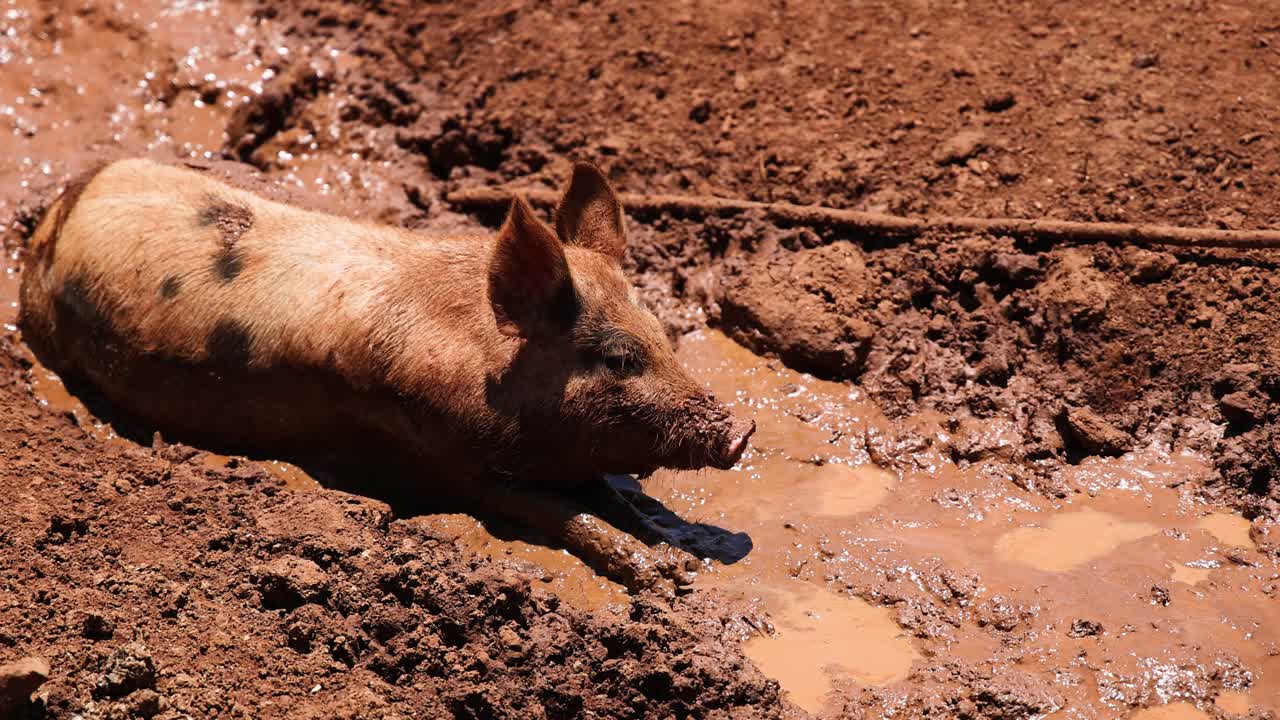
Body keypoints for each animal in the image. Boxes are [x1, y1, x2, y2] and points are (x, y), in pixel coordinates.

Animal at [19, 158, 754, 591]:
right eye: (620, 358)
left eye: (663, 335)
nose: (742, 429)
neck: (487, 371)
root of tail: (61, 206)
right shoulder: (450, 457)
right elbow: (564, 513)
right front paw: (665, 575)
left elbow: (610, 498)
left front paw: (677, 552)